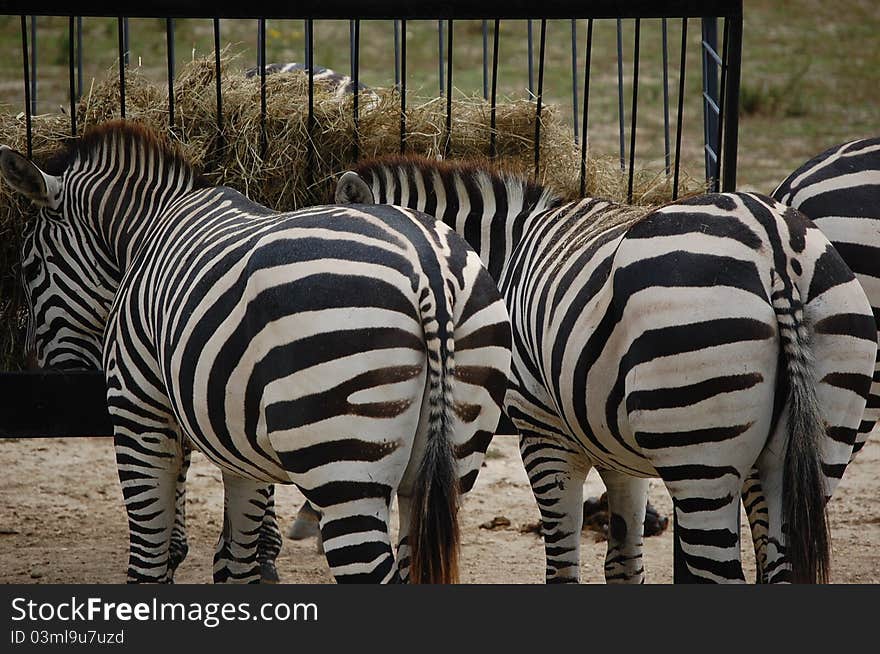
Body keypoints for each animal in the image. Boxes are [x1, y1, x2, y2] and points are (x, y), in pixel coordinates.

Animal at [334, 158, 876, 584]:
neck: (505, 258)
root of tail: (774, 246)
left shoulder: (544, 431)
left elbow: (562, 566)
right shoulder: (619, 450)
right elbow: (623, 561)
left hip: (701, 457)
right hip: (818, 443)